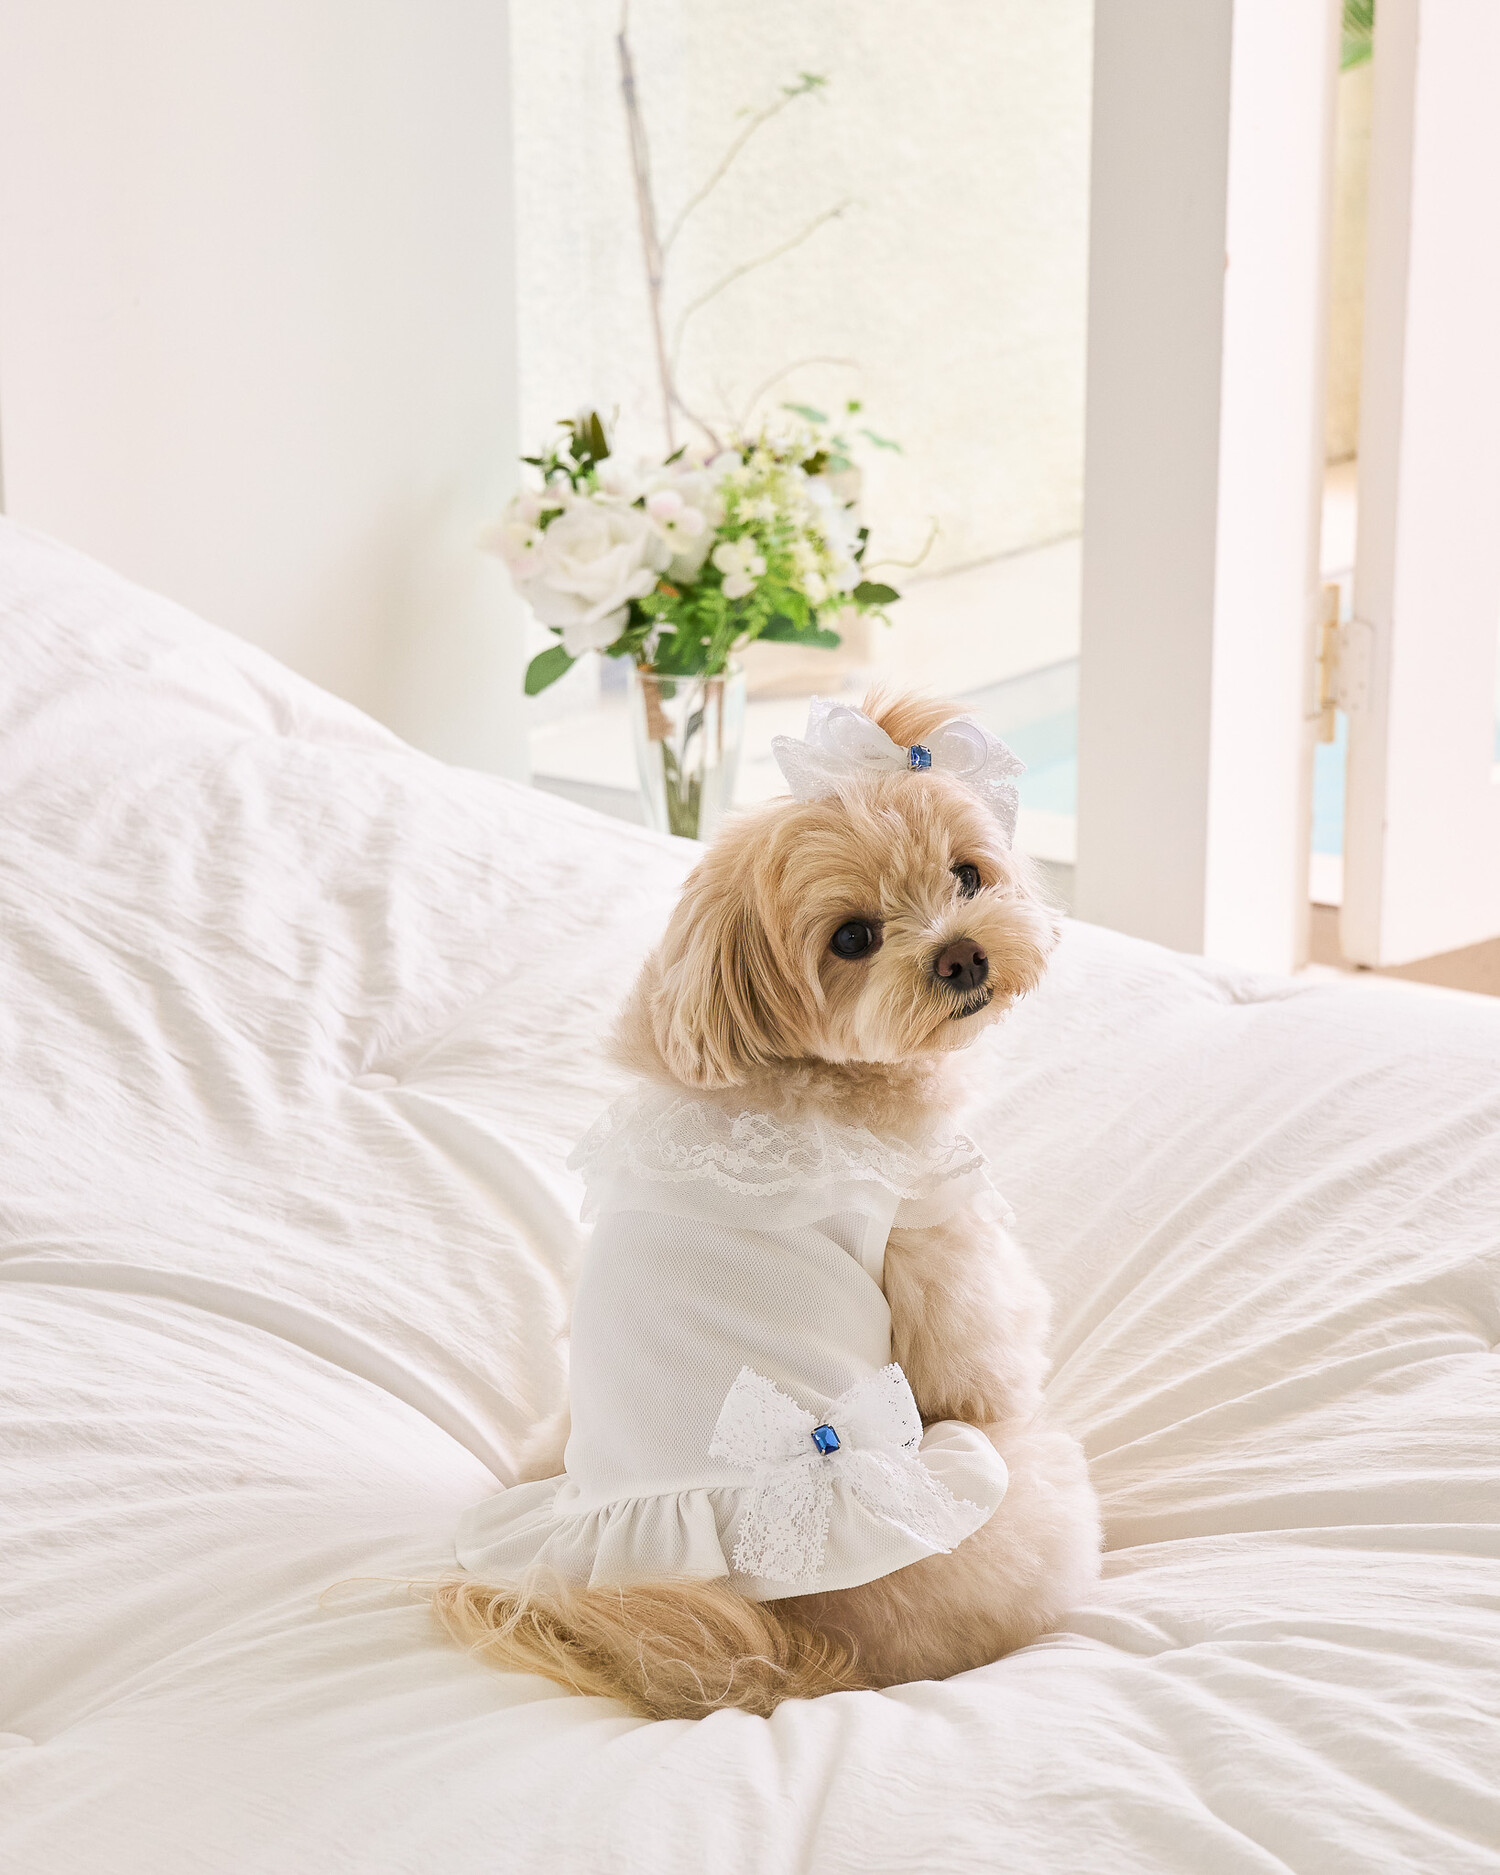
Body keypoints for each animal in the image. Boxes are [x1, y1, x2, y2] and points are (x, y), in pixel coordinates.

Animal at [434, 689, 1101, 1717]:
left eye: (968, 874)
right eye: (852, 938)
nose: (960, 956)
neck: (779, 1074)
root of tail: (778, 1640)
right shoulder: (934, 1230)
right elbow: (984, 1367)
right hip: (1027, 1490)